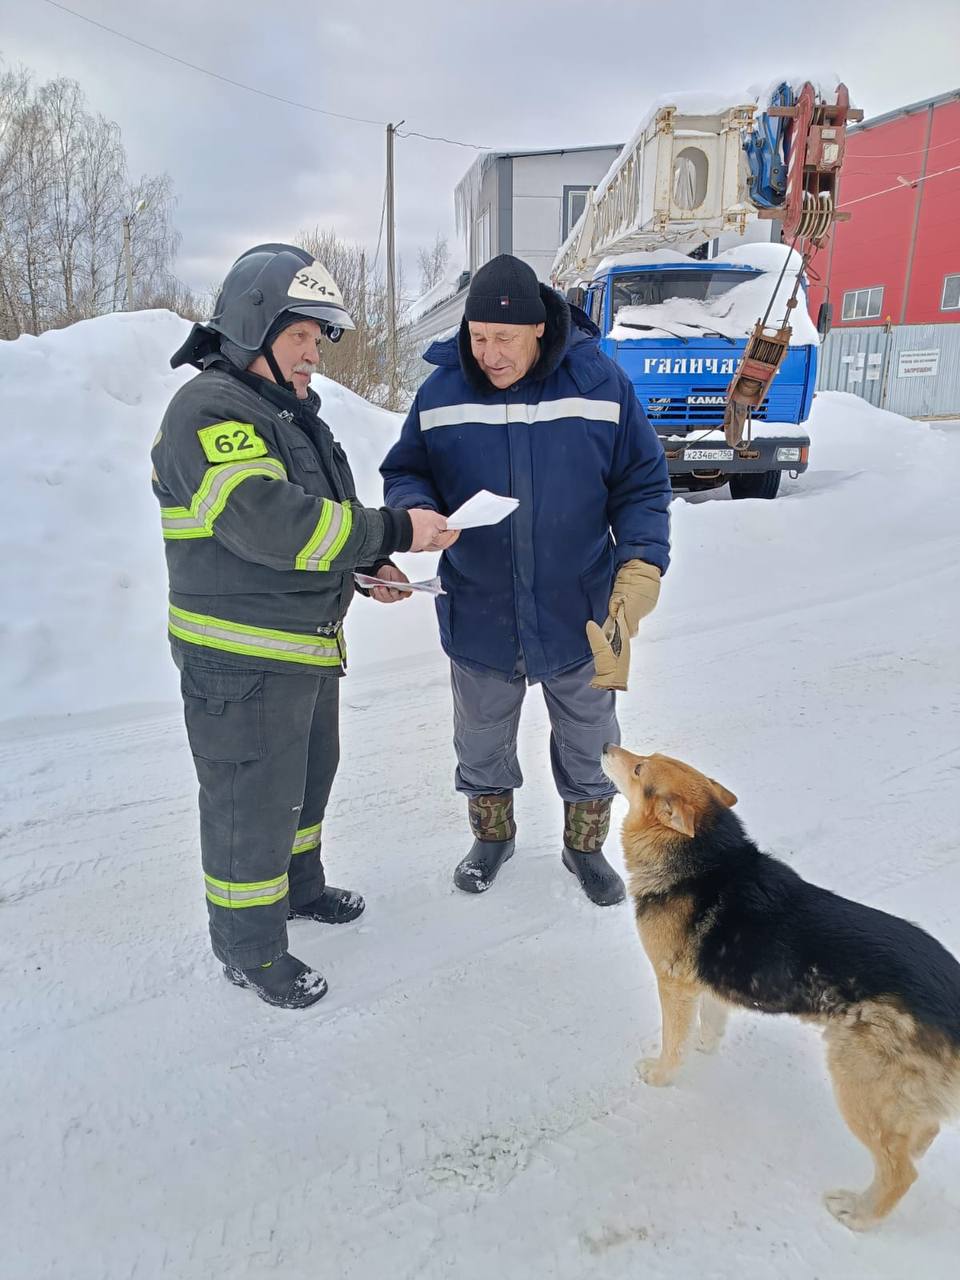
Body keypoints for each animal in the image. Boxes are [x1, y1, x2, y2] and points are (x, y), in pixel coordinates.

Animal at [601, 747, 960, 1233]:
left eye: (639, 768)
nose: (606, 748)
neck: (705, 859)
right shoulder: (706, 986)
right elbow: (709, 1025)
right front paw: (704, 1047)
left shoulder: (673, 984)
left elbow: (672, 1044)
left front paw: (661, 1074)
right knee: (921, 1134)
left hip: (857, 1084)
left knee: (901, 1173)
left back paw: (860, 1214)